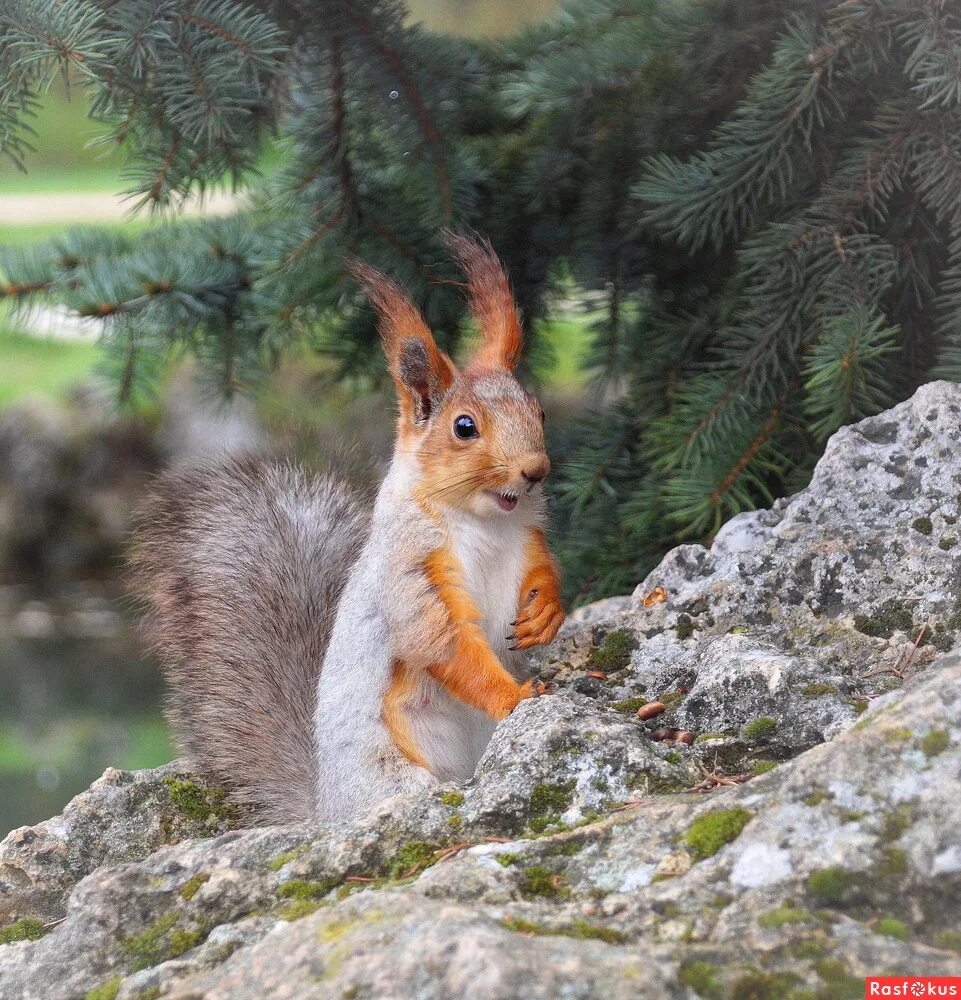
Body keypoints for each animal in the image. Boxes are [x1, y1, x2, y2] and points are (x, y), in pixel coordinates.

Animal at [127, 232, 564, 820]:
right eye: (464, 427)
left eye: (537, 411)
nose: (535, 470)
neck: (488, 522)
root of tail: (328, 812)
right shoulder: (411, 570)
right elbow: (445, 646)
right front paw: (515, 696)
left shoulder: (528, 537)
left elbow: (544, 569)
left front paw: (546, 612)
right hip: (394, 777)